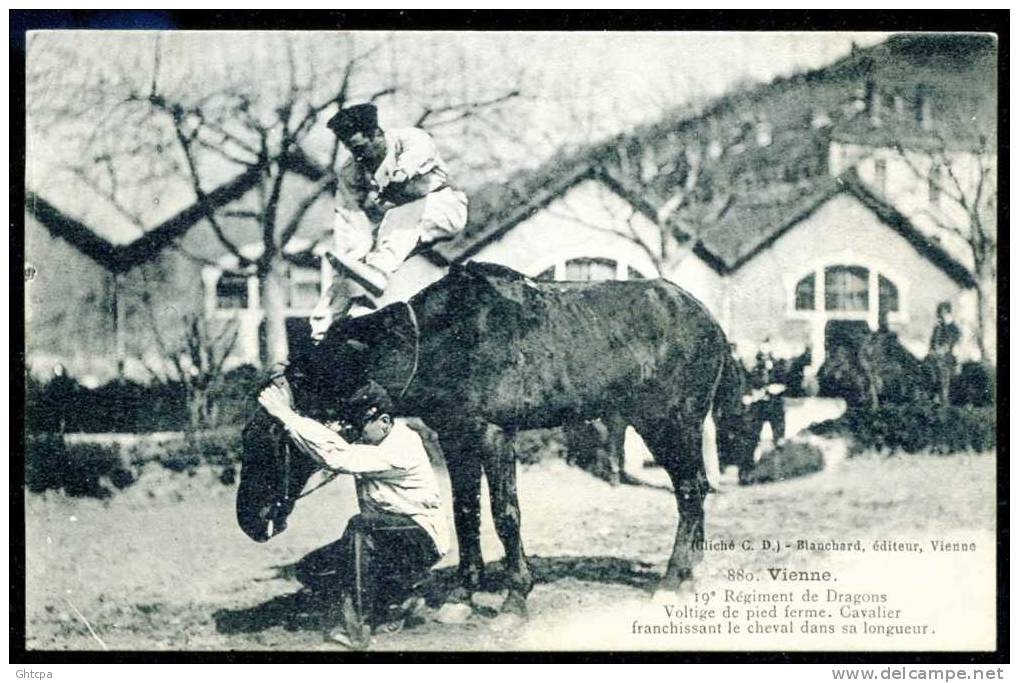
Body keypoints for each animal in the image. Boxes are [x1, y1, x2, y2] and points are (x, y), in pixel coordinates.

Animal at [238, 263, 749, 615]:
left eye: (272, 437)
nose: (250, 520)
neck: (448, 341)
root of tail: (707, 319)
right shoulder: (455, 436)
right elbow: (465, 513)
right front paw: (462, 595)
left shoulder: (494, 435)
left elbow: (505, 514)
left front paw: (514, 599)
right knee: (693, 491)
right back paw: (690, 576)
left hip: (669, 422)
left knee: (690, 492)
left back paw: (672, 580)